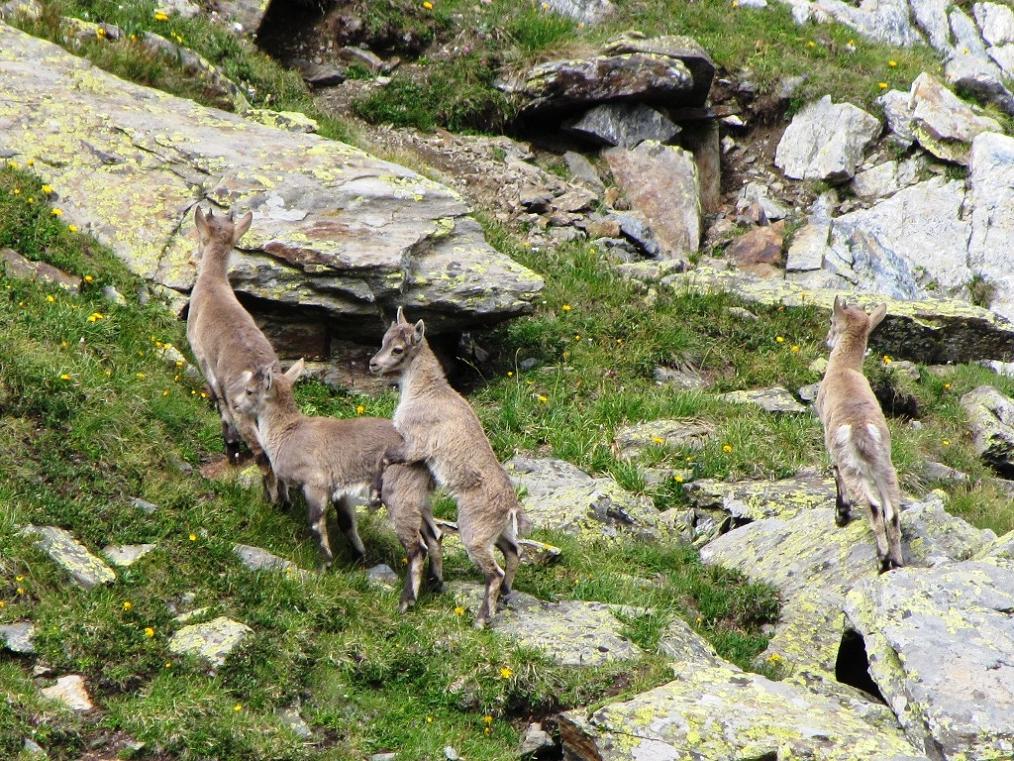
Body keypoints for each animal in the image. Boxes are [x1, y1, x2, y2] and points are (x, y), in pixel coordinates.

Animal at [186, 205, 279, 503]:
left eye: (199, 238)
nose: (192, 255)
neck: (213, 283)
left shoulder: (205, 362)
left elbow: (220, 407)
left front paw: (230, 451)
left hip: (246, 414)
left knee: (264, 457)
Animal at [242, 359, 444, 612]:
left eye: (250, 391)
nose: (236, 405)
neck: (288, 433)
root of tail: (426, 459)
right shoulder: (340, 492)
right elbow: (346, 522)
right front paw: (359, 555)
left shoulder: (315, 484)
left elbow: (315, 522)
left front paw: (325, 564)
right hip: (420, 500)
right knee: (435, 535)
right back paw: (436, 582)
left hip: (400, 497)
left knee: (417, 549)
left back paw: (406, 601)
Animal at [371, 306, 531, 629]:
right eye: (383, 340)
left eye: (398, 349)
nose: (373, 364)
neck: (424, 391)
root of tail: (510, 507)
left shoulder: (415, 443)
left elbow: (391, 456)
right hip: (498, 532)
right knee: (514, 551)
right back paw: (506, 593)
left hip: (474, 532)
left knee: (493, 571)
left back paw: (482, 619)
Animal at [815, 296, 904, 572]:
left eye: (831, 321)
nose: (827, 339)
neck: (844, 368)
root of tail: (862, 429)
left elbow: (834, 472)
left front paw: (841, 514)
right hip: (885, 467)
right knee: (892, 513)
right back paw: (897, 562)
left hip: (854, 468)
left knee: (874, 508)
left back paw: (882, 561)